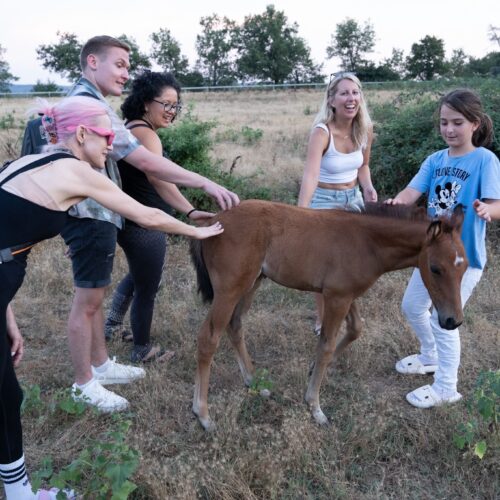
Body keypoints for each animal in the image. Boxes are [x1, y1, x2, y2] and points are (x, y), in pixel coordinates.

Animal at [189, 199, 466, 430]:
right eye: (435, 268)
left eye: (464, 267)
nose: (452, 320)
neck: (366, 242)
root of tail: (213, 222)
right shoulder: (337, 297)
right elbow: (326, 345)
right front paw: (314, 406)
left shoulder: (345, 294)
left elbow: (355, 329)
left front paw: (313, 369)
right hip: (230, 289)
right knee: (208, 338)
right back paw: (203, 413)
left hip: (252, 283)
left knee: (235, 325)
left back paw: (253, 382)